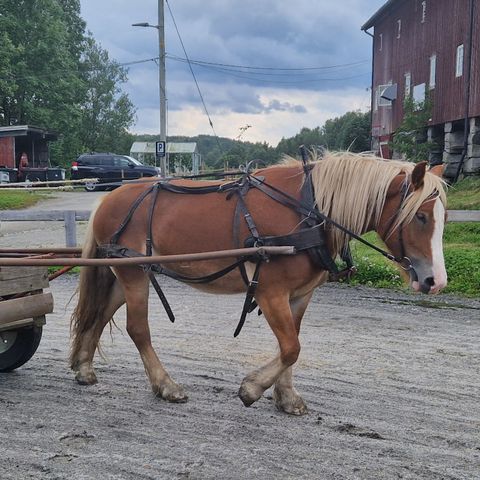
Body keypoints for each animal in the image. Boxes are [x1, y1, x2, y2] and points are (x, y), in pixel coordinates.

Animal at [69, 152, 448, 414]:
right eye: (420, 216)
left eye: (441, 217)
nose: (436, 281)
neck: (308, 210)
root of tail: (108, 197)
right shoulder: (270, 292)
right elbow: (292, 347)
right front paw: (252, 389)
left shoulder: (299, 295)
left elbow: (292, 345)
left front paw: (286, 396)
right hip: (134, 275)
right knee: (138, 329)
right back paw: (165, 385)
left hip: (124, 274)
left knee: (100, 313)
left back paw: (84, 367)